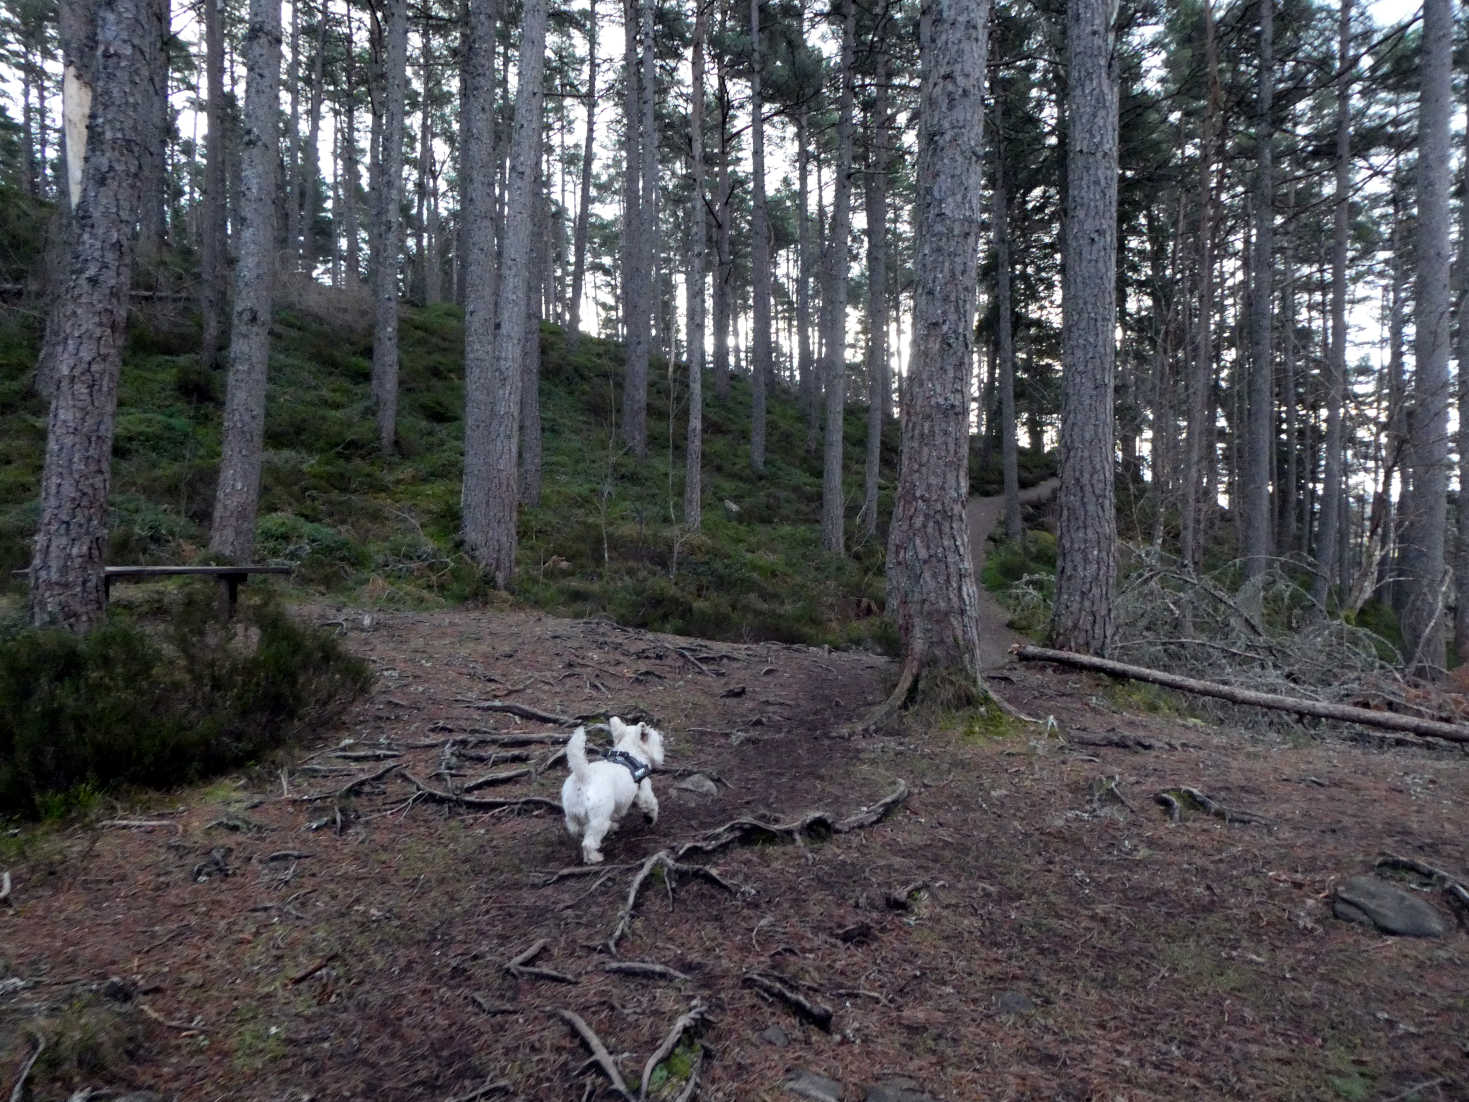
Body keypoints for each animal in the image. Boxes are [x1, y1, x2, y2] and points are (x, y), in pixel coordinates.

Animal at [555, 719, 666, 869]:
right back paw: (594, 858)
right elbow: (651, 805)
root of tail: (583, 777)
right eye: (656, 739)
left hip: (573, 816)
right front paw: (651, 820)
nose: (662, 736)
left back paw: (610, 827)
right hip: (599, 818)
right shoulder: (644, 791)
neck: (632, 753)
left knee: (579, 830)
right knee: (588, 842)